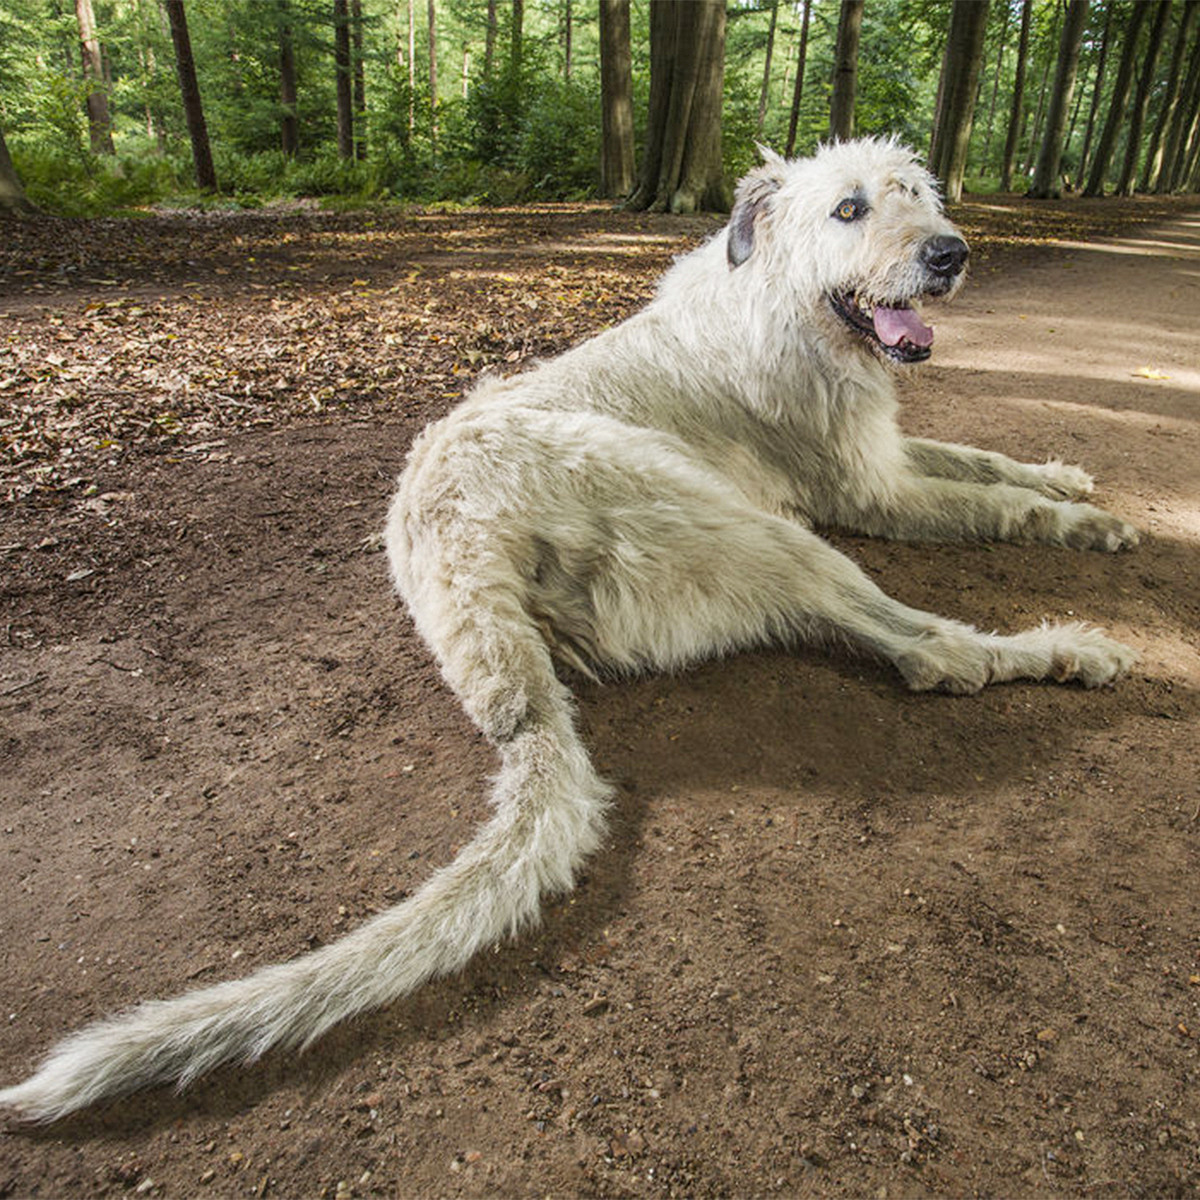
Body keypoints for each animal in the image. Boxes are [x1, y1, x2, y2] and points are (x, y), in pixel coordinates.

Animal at [0, 140, 1137, 1123]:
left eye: (916, 194)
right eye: (849, 210)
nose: (951, 253)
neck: (778, 298)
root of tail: (462, 564)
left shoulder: (889, 453)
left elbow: (983, 460)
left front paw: (1066, 477)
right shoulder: (868, 492)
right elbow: (991, 503)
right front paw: (1084, 524)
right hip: (751, 525)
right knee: (931, 652)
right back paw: (1067, 648)